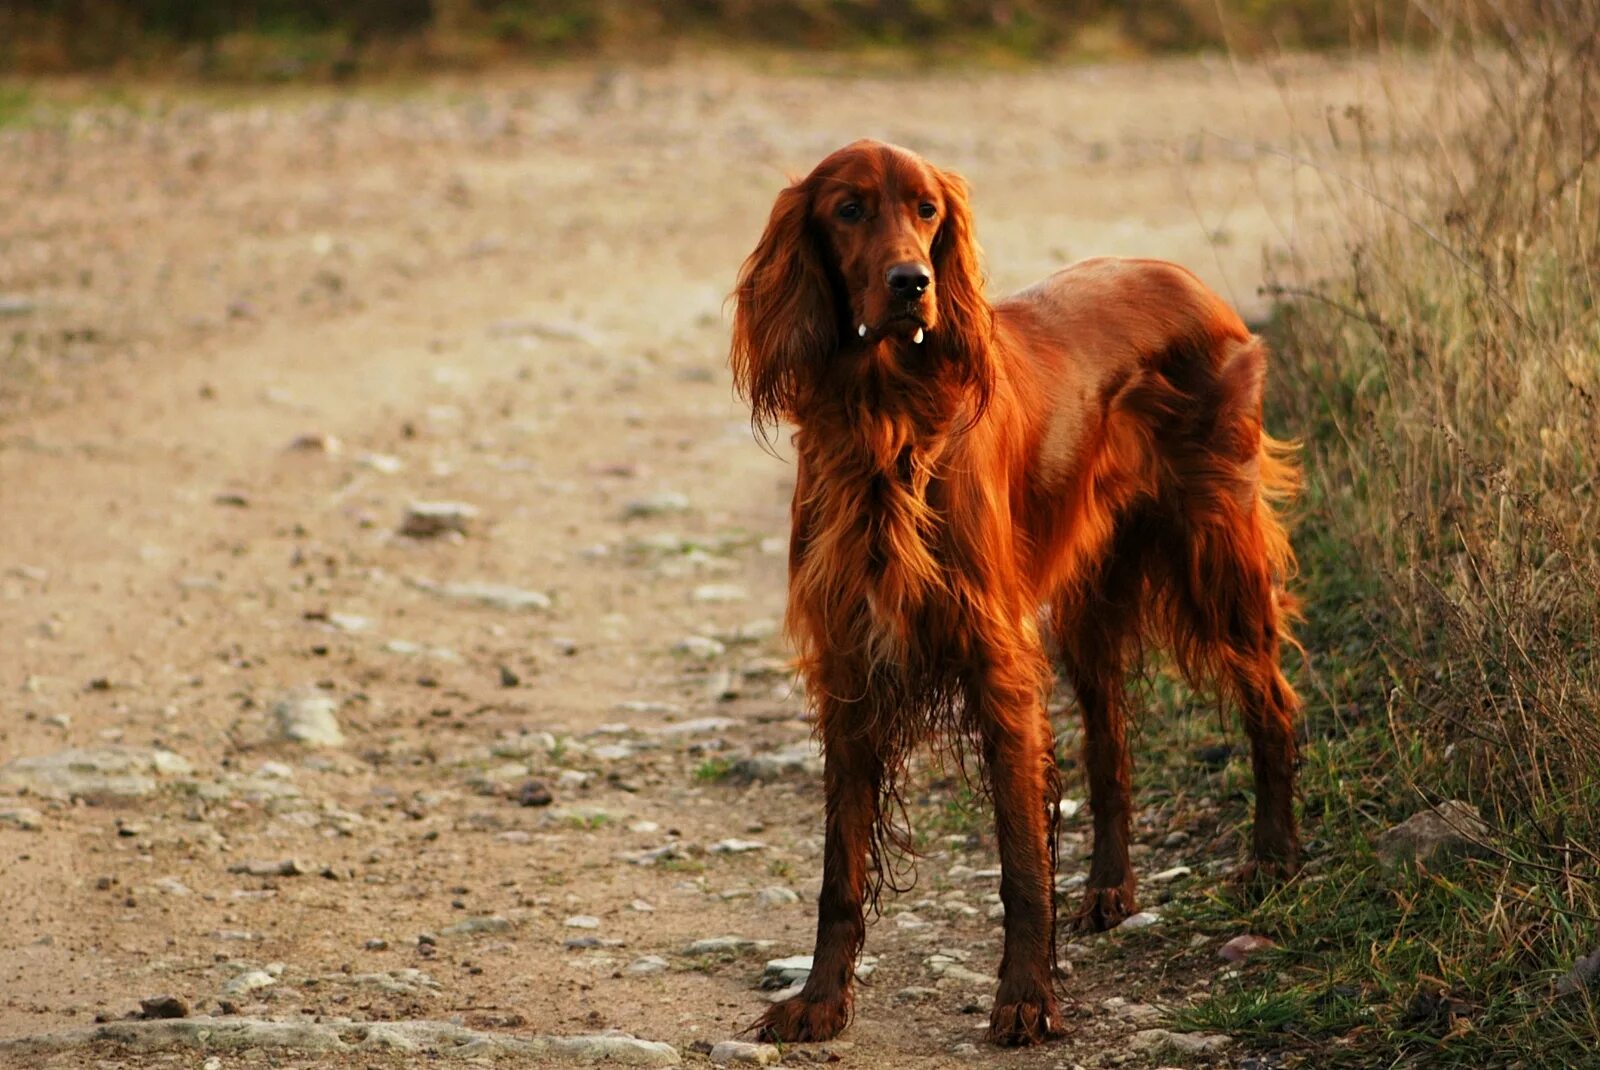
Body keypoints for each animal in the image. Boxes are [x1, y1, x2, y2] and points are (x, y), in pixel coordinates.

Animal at [732, 139, 1305, 1042]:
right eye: (848, 209)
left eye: (928, 210)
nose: (911, 283)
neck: (886, 420)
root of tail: (1192, 282)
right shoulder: (850, 668)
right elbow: (840, 870)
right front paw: (820, 999)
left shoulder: (996, 659)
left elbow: (1021, 861)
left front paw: (1027, 997)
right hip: (1087, 608)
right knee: (1110, 746)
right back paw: (1110, 888)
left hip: (1217, 553)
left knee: (1272, 702)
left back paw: (1274, 858)